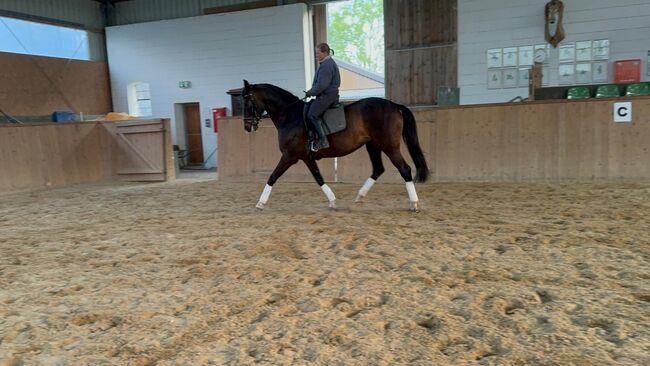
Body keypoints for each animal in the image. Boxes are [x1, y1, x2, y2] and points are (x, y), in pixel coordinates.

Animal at [240, 80, 428, 212]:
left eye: (247, 102)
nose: (247, 127)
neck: (290, 115)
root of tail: (395, 106)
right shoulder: (306, 157)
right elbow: (319, 178)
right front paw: (332, 201)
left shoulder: (289, 156)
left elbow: (272, 176)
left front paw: (260, 203)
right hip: (373, 146)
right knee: (378, 169)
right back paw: (359, 197)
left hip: (390, 147)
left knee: (404, 169)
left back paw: (414, 204)